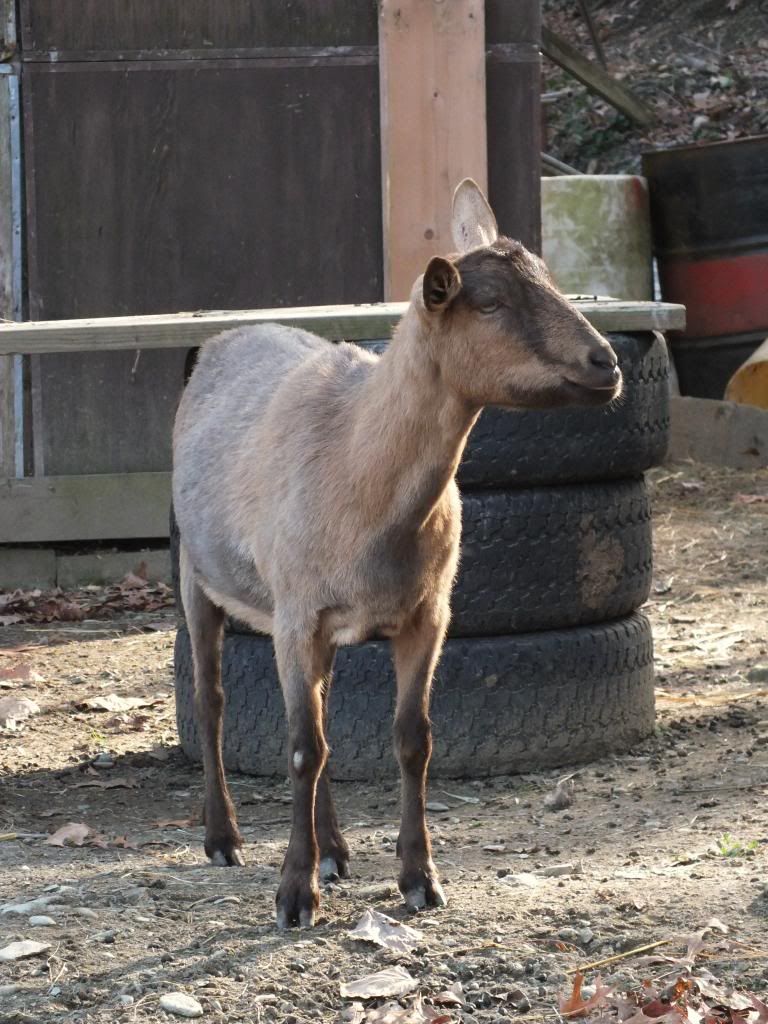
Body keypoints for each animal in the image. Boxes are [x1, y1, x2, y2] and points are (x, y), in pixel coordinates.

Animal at [172, 180, 622, 928]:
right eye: (491, 304)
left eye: (550, 281)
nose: (607, 364)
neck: (363, 468)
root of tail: (226, 337)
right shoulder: (295, 615)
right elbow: (300, 747)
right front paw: (293, 896)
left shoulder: (426, 615)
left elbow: (411, 740)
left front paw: (419, 879)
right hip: (196, 575)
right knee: (213, 702)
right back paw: (224, 838)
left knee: (320, 717)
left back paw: (333, 849)